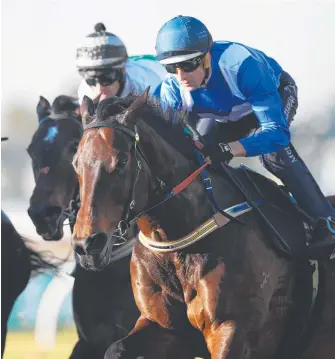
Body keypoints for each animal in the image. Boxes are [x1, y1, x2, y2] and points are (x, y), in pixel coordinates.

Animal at [72, 91, 334, 358]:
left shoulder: (231, 328)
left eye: (122, 161)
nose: (88, 245)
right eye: (76, 162)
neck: (176, 244)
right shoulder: (161, 325)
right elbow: (116, 348)